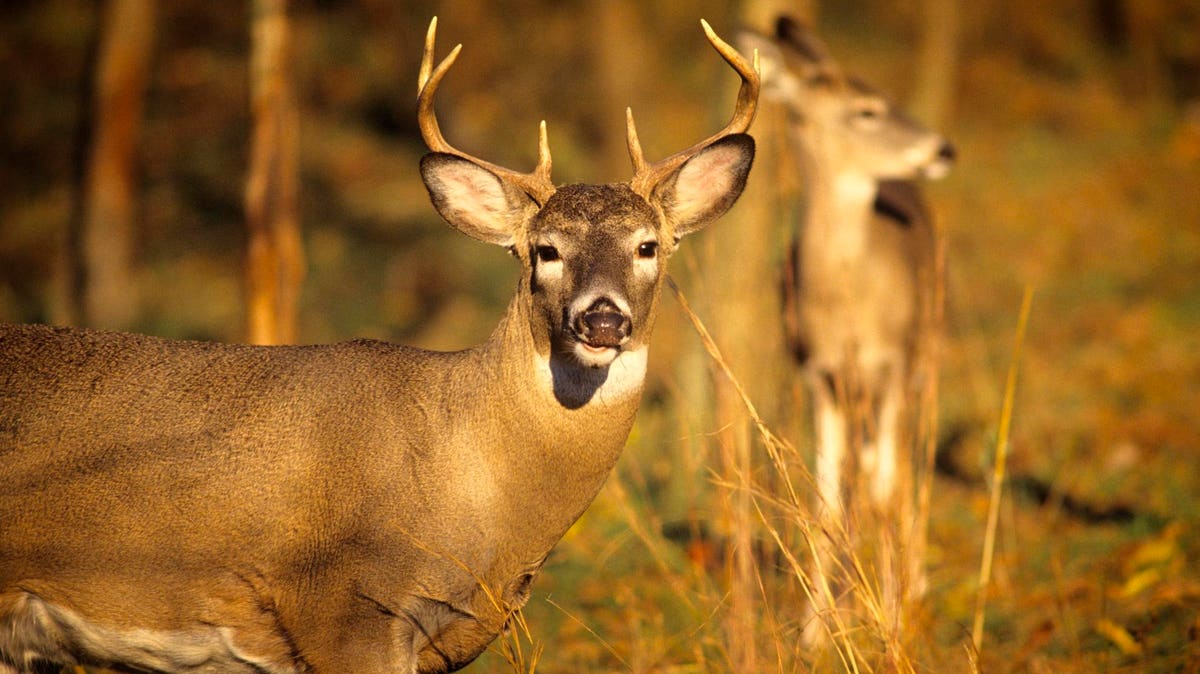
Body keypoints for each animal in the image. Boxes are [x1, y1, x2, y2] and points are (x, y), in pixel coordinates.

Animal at [738, 16, 954, 639]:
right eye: (867, 110)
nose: (943, 148)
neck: (846, 309)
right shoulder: (819, 373)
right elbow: (828, 498)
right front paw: (815, 629)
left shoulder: (893, 364)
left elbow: (885, 488)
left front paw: (894, 618)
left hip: (928, 352)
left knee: (908, 462)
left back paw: (915, 582)